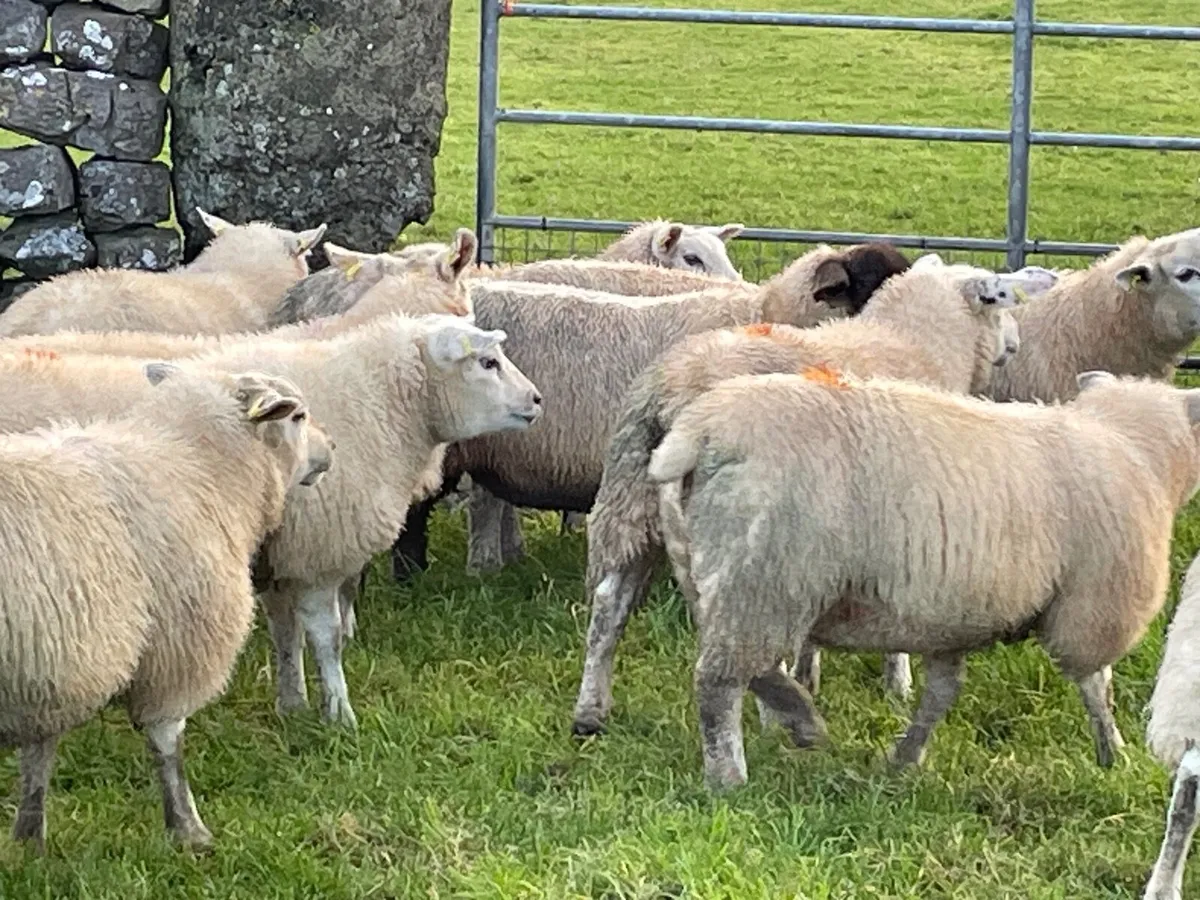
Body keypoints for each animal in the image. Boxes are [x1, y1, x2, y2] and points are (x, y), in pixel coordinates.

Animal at [0, 362, 326, 851]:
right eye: (298, 416)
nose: (332, 449)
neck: (196, 467)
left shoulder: (52, 666)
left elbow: (37, 757)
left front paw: (28, 842)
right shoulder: (178, 645)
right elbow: (167, 744)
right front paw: (189, 832)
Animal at [571, 260, 1050, 737]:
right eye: (998, 302)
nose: (1015, 345)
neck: (915, 344)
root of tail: (678, 388)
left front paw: (810, 674)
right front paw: (898, 685)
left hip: (630, 502)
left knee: (609, 605)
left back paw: (590, 711)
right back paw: (773, 720)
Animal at [646, 370, 1200, 789]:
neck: (1136, 450)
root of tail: (702, 429)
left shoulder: (954, 621)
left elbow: (940, 696)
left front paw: (906, 759)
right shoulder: (1093, 607)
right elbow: (1096, 686)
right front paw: (1114, 754)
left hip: (720, 572)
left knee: (749, 665)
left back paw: (801, 719)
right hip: (766, 581)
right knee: (719, 682)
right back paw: (729, 778)